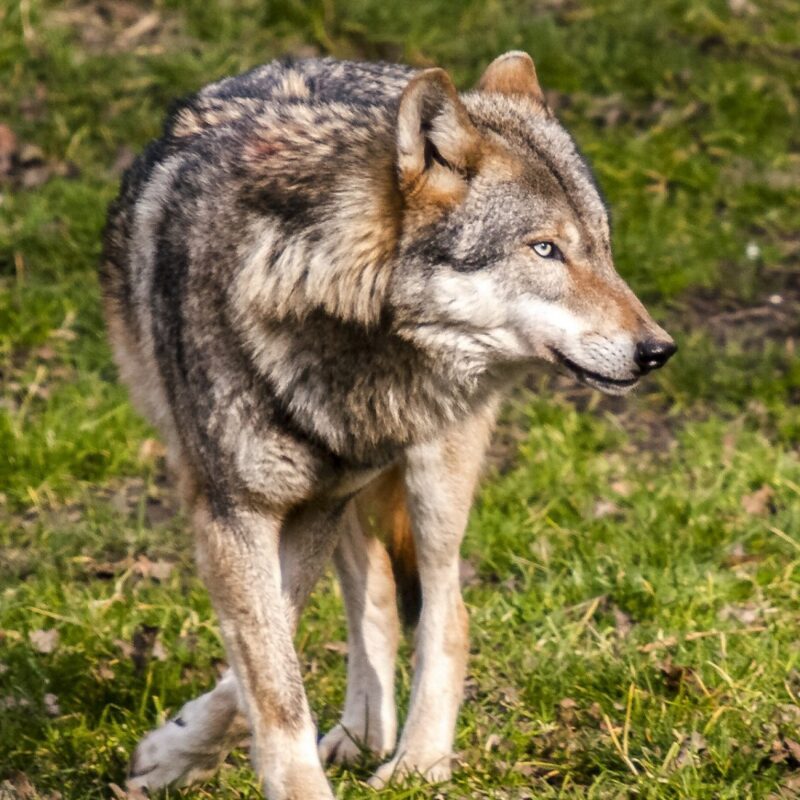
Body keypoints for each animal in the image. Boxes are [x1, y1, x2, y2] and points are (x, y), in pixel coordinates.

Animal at [100, 51, 675, 799]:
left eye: (602, 249)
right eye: (545, 249)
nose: (659, 350)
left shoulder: (310, 508)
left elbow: (271, 654)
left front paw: (178, 748)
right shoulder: (238, 509)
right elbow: (273, 676)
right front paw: (202, 754)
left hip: (432, 476)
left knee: (448, 612)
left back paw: (419, 762)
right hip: (358, 494)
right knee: (374, 590)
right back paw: (362, 734)